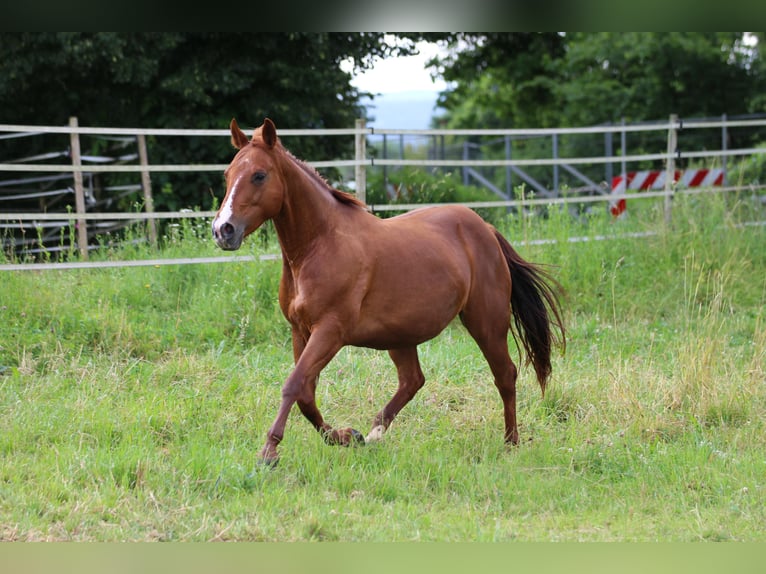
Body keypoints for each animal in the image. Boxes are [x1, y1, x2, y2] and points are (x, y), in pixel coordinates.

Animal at [213, 118, 568, 468]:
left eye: (259, 175)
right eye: (227, 175)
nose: (223, 230)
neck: (320, 245)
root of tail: (487, 231)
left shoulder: (330, 331)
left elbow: (293, 385)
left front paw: (269, 453)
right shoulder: (300, 331)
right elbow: (305, 395)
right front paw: (345, 436)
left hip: (486, 322)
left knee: (504, 375)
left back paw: (510, 443)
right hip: (401, 334)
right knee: (413, 380)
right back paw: (373, 433)